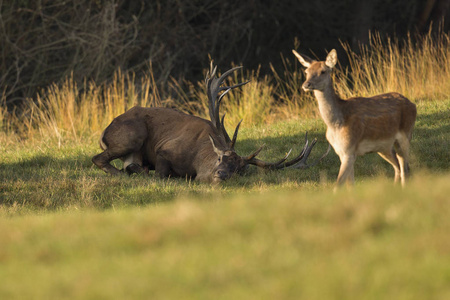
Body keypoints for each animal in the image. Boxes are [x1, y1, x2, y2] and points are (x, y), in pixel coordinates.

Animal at [94, 62, 326, 182]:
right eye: (221, 158)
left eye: (239, 170)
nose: (221, 175)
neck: (195, 161)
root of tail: (103, 133)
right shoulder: (164, 150)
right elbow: (161, 174)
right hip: (132, 136)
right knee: (98, 158)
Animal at [294, 49, 416, 188]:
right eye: (306, 72)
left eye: (323, 71)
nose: (306, 84)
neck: (336, 124)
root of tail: (413, 104)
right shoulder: (341, 152)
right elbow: (350, 184)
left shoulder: (349, 149)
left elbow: (338, 185)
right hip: (384, 146)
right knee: (398, 166)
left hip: (406, 134)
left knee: (405, 167)